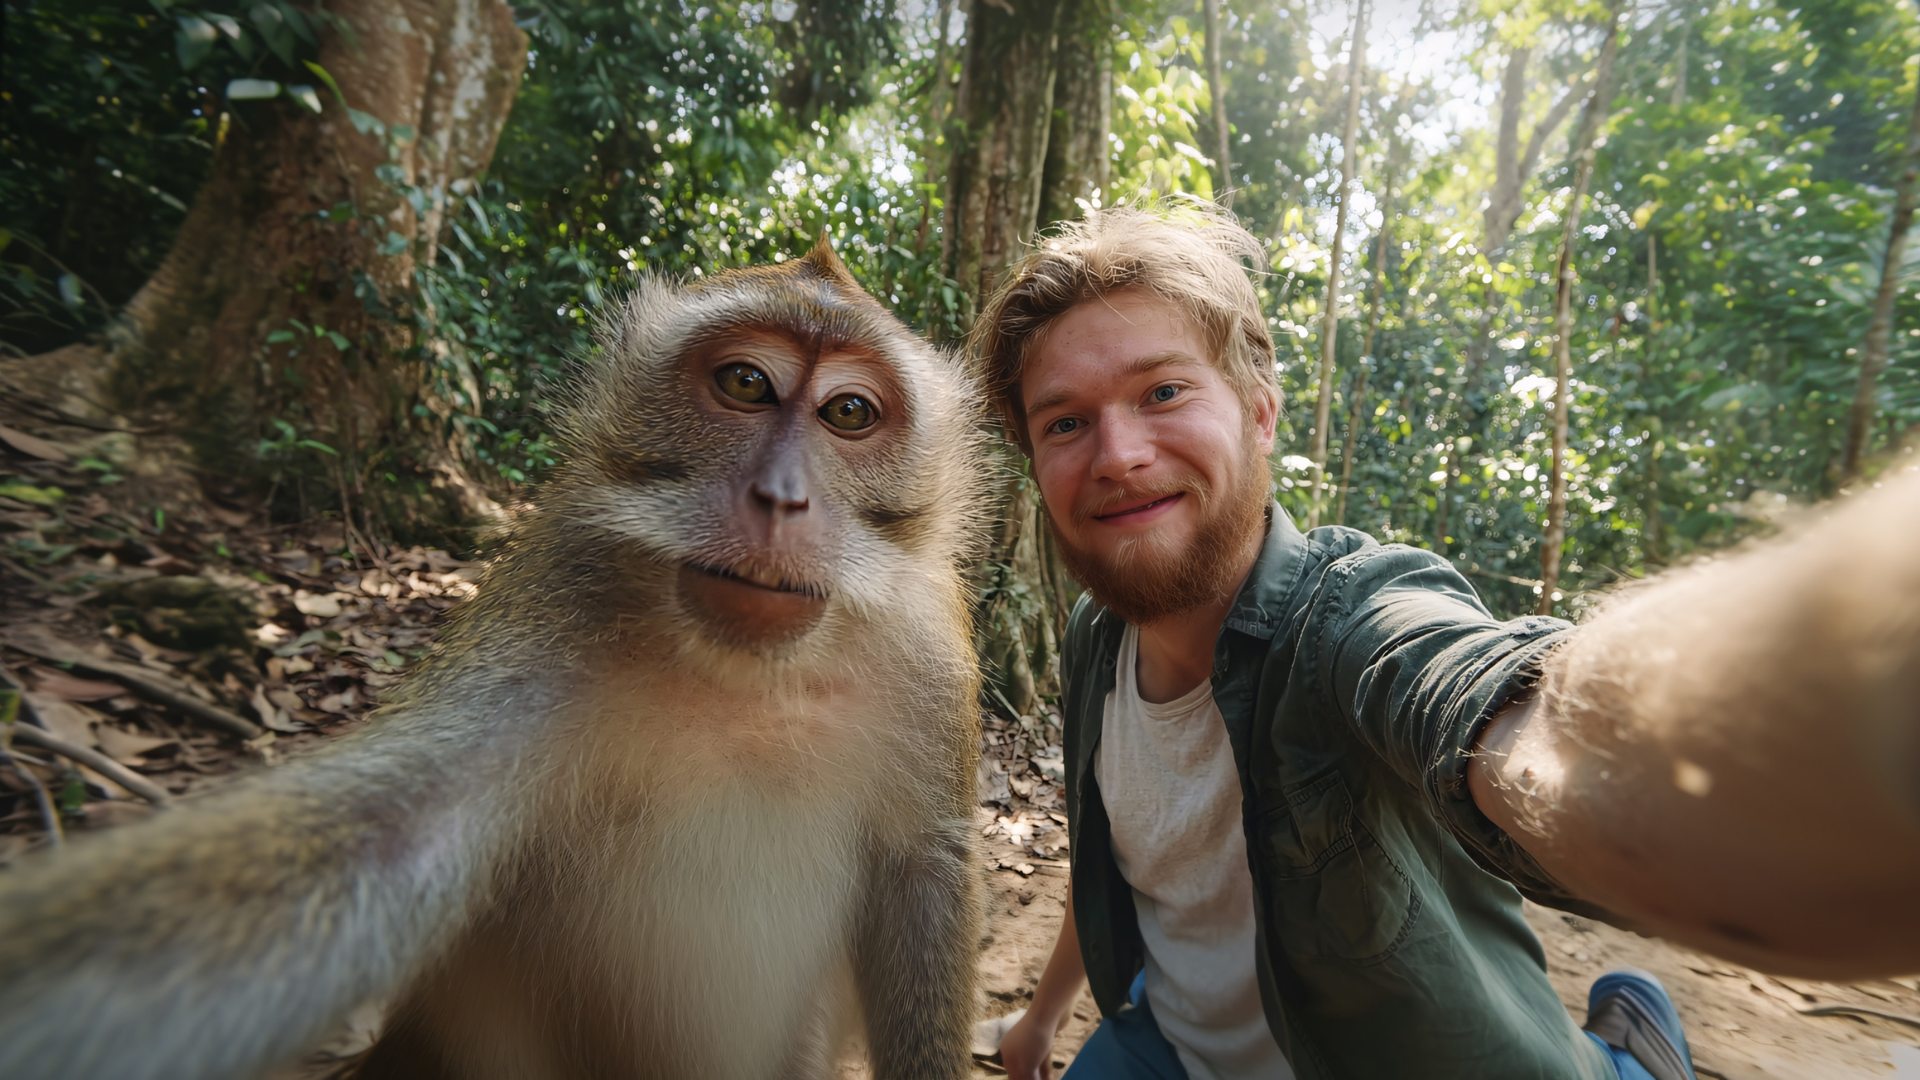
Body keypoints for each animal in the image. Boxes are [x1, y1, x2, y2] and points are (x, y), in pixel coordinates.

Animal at [0, 241, 992, 1080]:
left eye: (849, 413)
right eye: (746, 382)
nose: (781, 497)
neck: (746, 677)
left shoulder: (929, 655)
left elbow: (922, 876)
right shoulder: (555, 591)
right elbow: (393, 834)